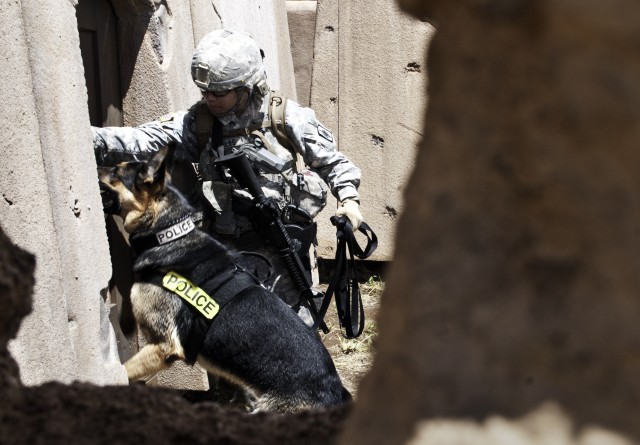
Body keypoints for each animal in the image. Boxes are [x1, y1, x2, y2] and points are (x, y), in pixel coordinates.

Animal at [98, 147, 352, 412]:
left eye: (116, 171)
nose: (96, 167)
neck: (167, 234)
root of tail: (336, 394)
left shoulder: (162, 346)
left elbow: (124, 371)